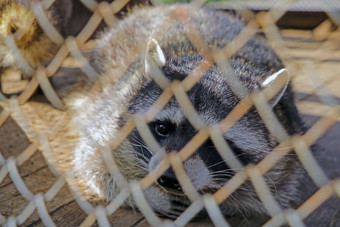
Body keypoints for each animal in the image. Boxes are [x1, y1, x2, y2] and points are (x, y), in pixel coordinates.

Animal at [71, 3, 306, 220]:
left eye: (212, 141)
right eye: (163, 128)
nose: (168, 178)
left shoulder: (283, 159)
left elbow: (268, 197)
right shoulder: (113, 113)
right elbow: (93, 161)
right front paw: (146, 195)